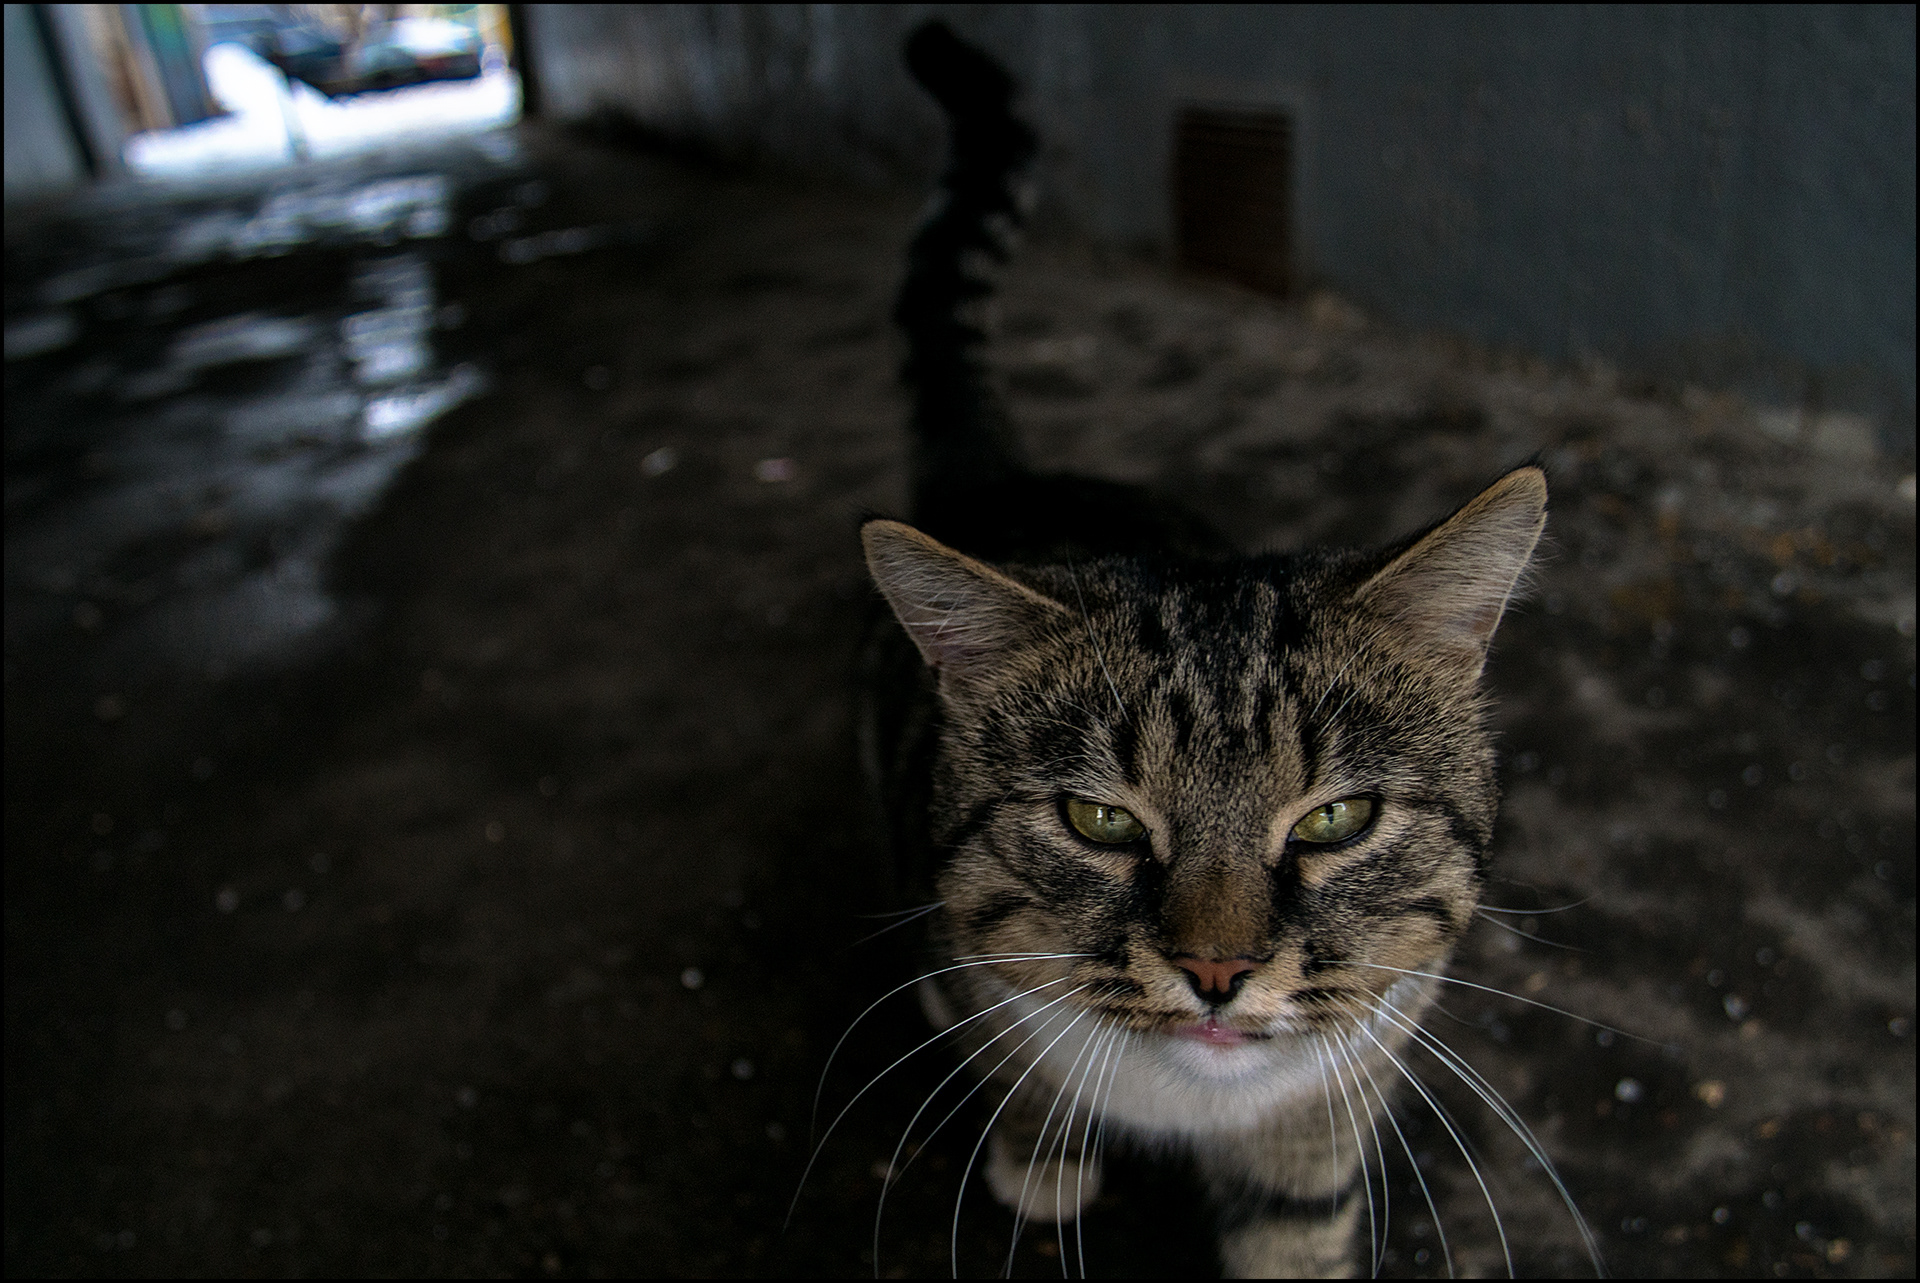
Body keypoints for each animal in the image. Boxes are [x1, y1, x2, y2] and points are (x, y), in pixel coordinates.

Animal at [854, 22, 1559, 1277]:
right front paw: (1040, 1154)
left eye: (1337, 817)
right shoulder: (972, 969)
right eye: (1097, 819)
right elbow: (1014, 1063)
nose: (1219, 973)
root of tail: (1008, 475)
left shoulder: (1333, 1096)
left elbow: (1297, 1221)